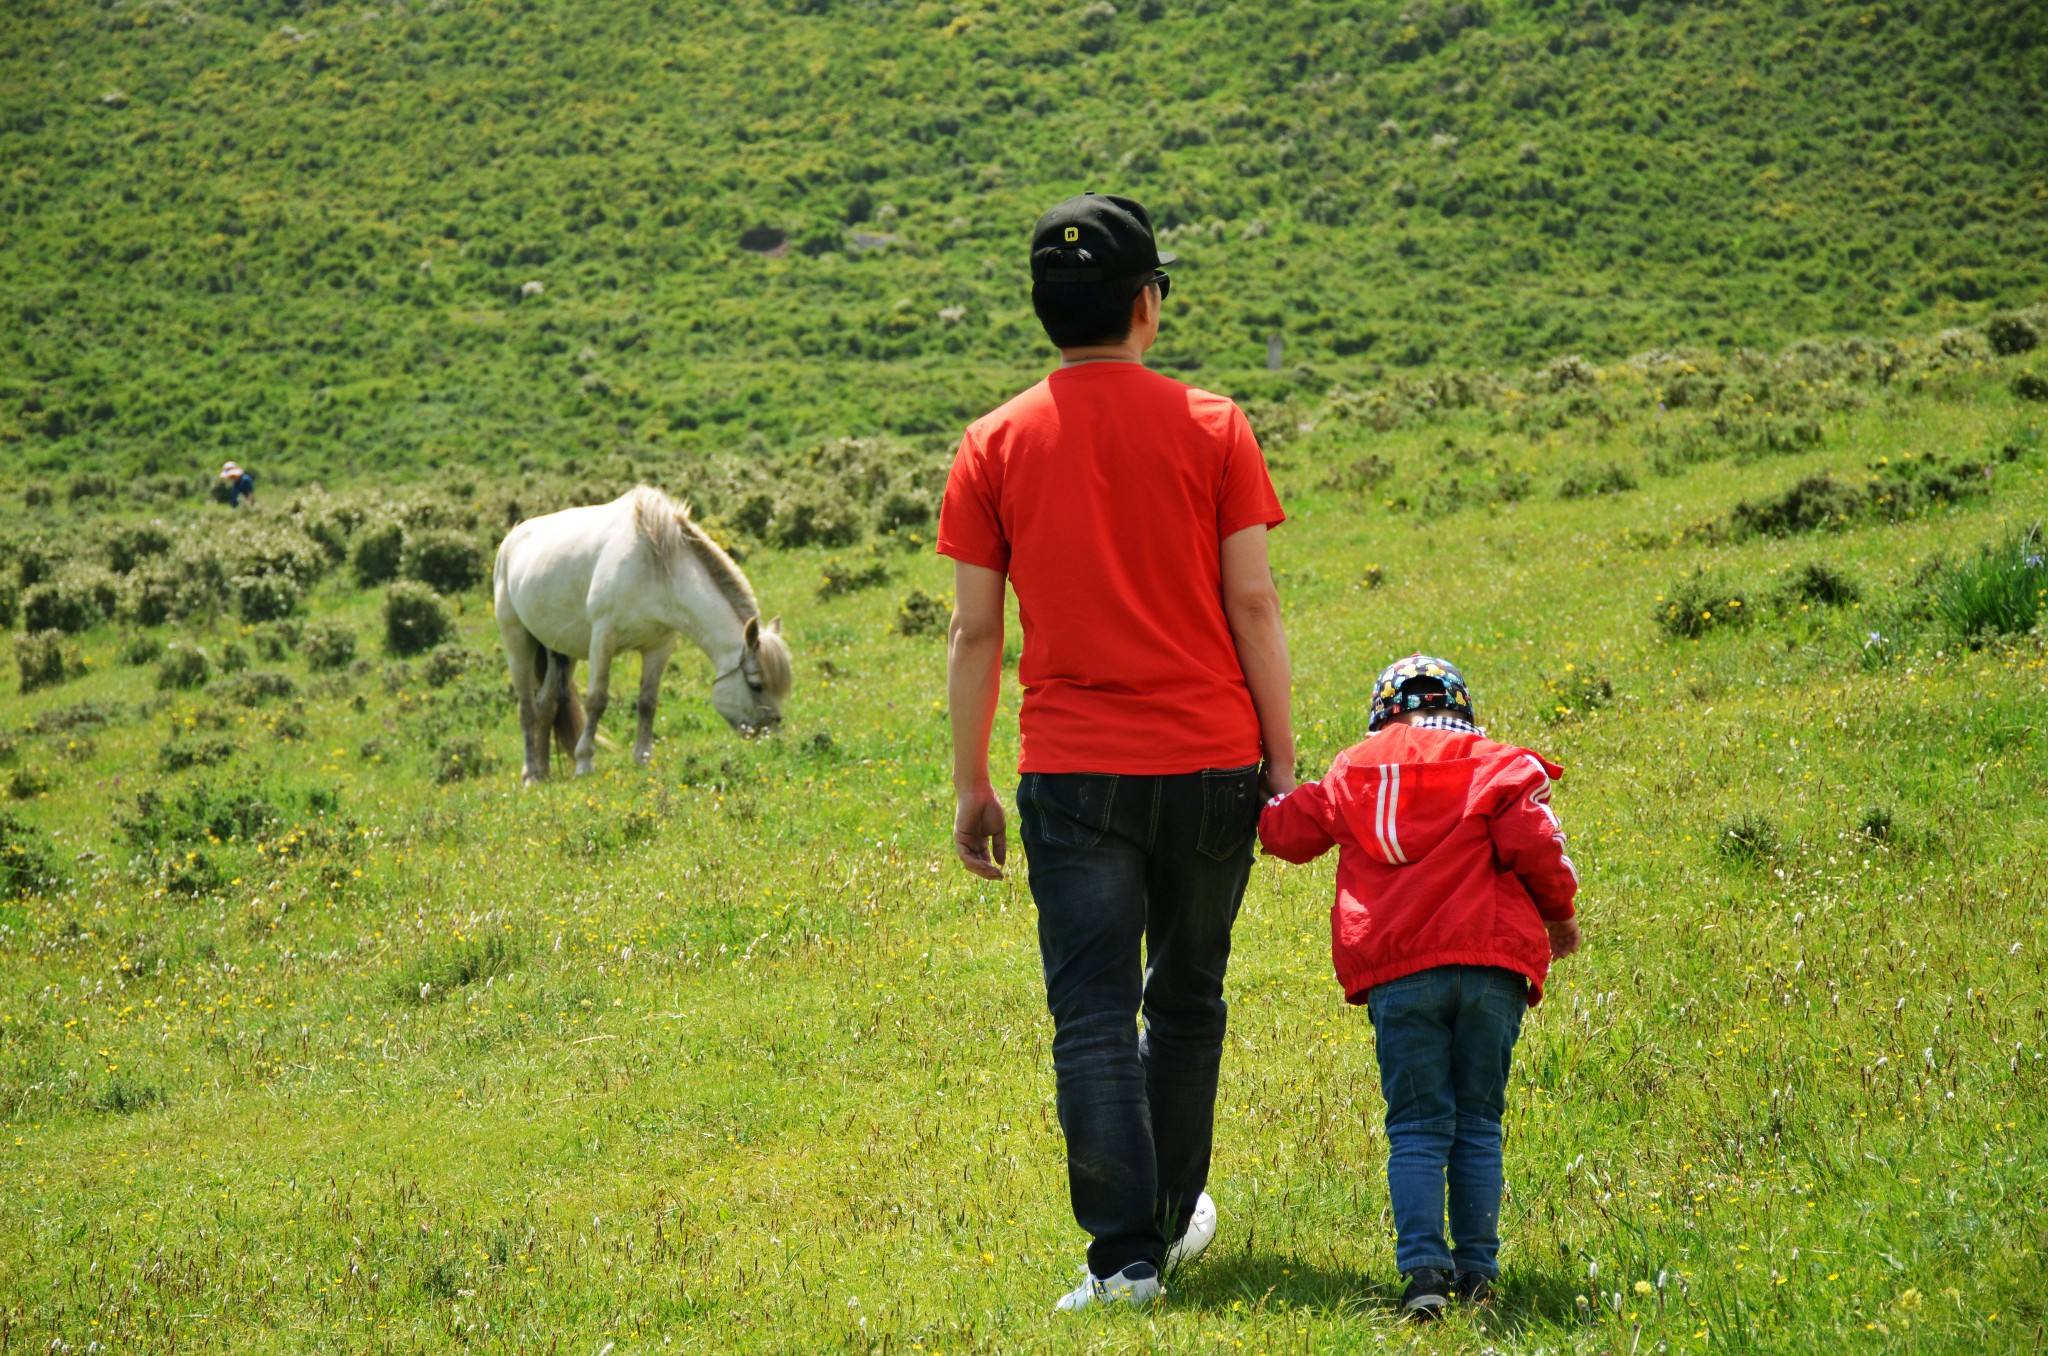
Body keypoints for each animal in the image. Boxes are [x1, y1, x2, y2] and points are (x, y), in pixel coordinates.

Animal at [487, 489, 790, 786]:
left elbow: (647, 703)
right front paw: (584, 762)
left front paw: (643, 758)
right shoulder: (603, 638)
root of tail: (509, 541)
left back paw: (543, 771)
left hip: (559, 651)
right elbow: (596, 700)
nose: (771, 737)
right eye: (756, 685)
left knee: (545, 706)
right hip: (518, 642)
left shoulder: (659, 647)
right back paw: (531, 774)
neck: (655, 566)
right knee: (527, 710)